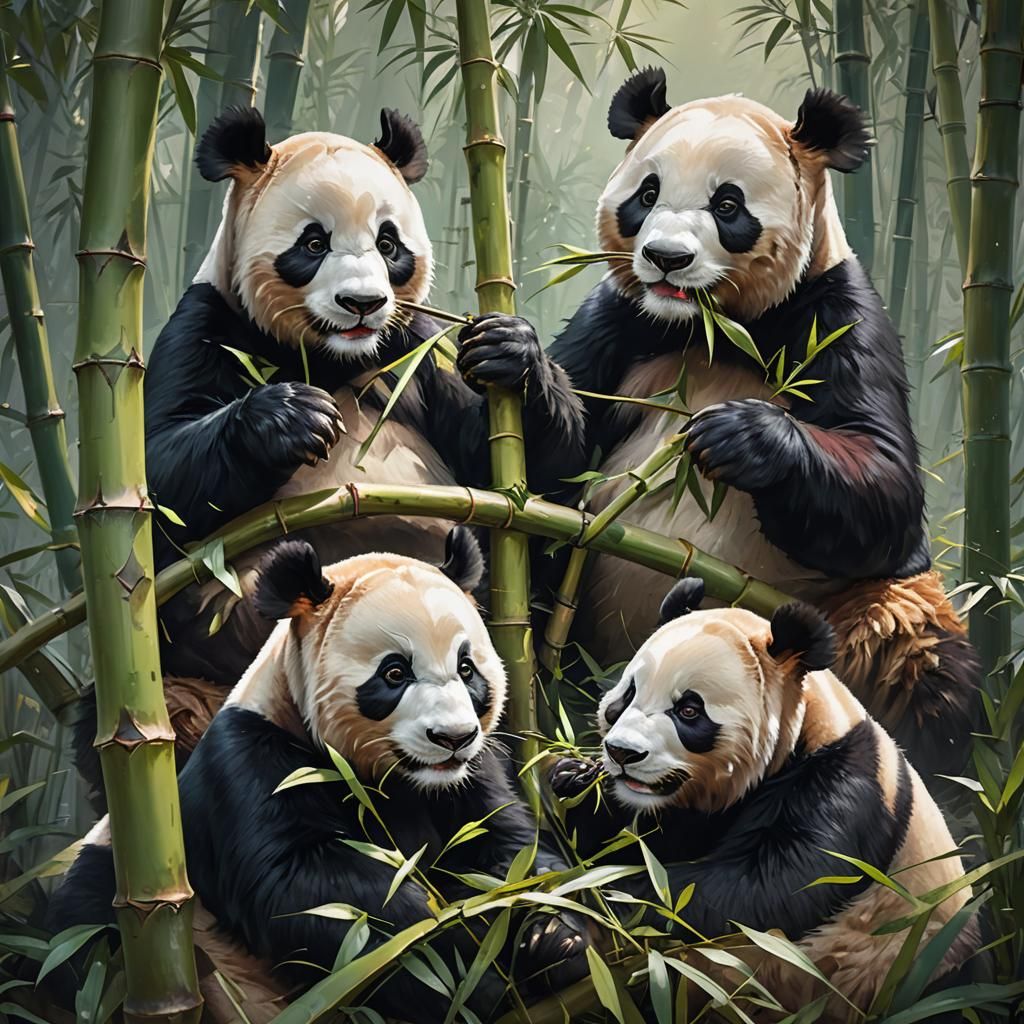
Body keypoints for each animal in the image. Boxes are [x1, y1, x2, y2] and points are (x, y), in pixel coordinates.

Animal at [50, 529, 589, 1023]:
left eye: (467, 668)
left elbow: (507, 844)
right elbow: (315, 894)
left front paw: (550, 938)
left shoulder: (471, 771)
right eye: (395, 673)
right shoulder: (251, 763)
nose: (452, 737)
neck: (388, 778)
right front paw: (465, 963)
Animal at [545, 69, 977, 778]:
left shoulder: (840, 317)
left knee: (918, 665)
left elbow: (886, 490)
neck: (712, 327)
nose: (665, 258)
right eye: (647, 193)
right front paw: (514, 358)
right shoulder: (621, 318)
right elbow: (556, 457)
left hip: (857, 621)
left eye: (728, 204)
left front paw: (739, 436)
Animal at [549, 578, 978, 1019]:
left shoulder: (845, 786)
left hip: (912, 962)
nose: (622, 753)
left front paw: (613, 895)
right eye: (628, 694)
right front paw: (574, 780)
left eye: (689, 710)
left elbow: (770, 884)